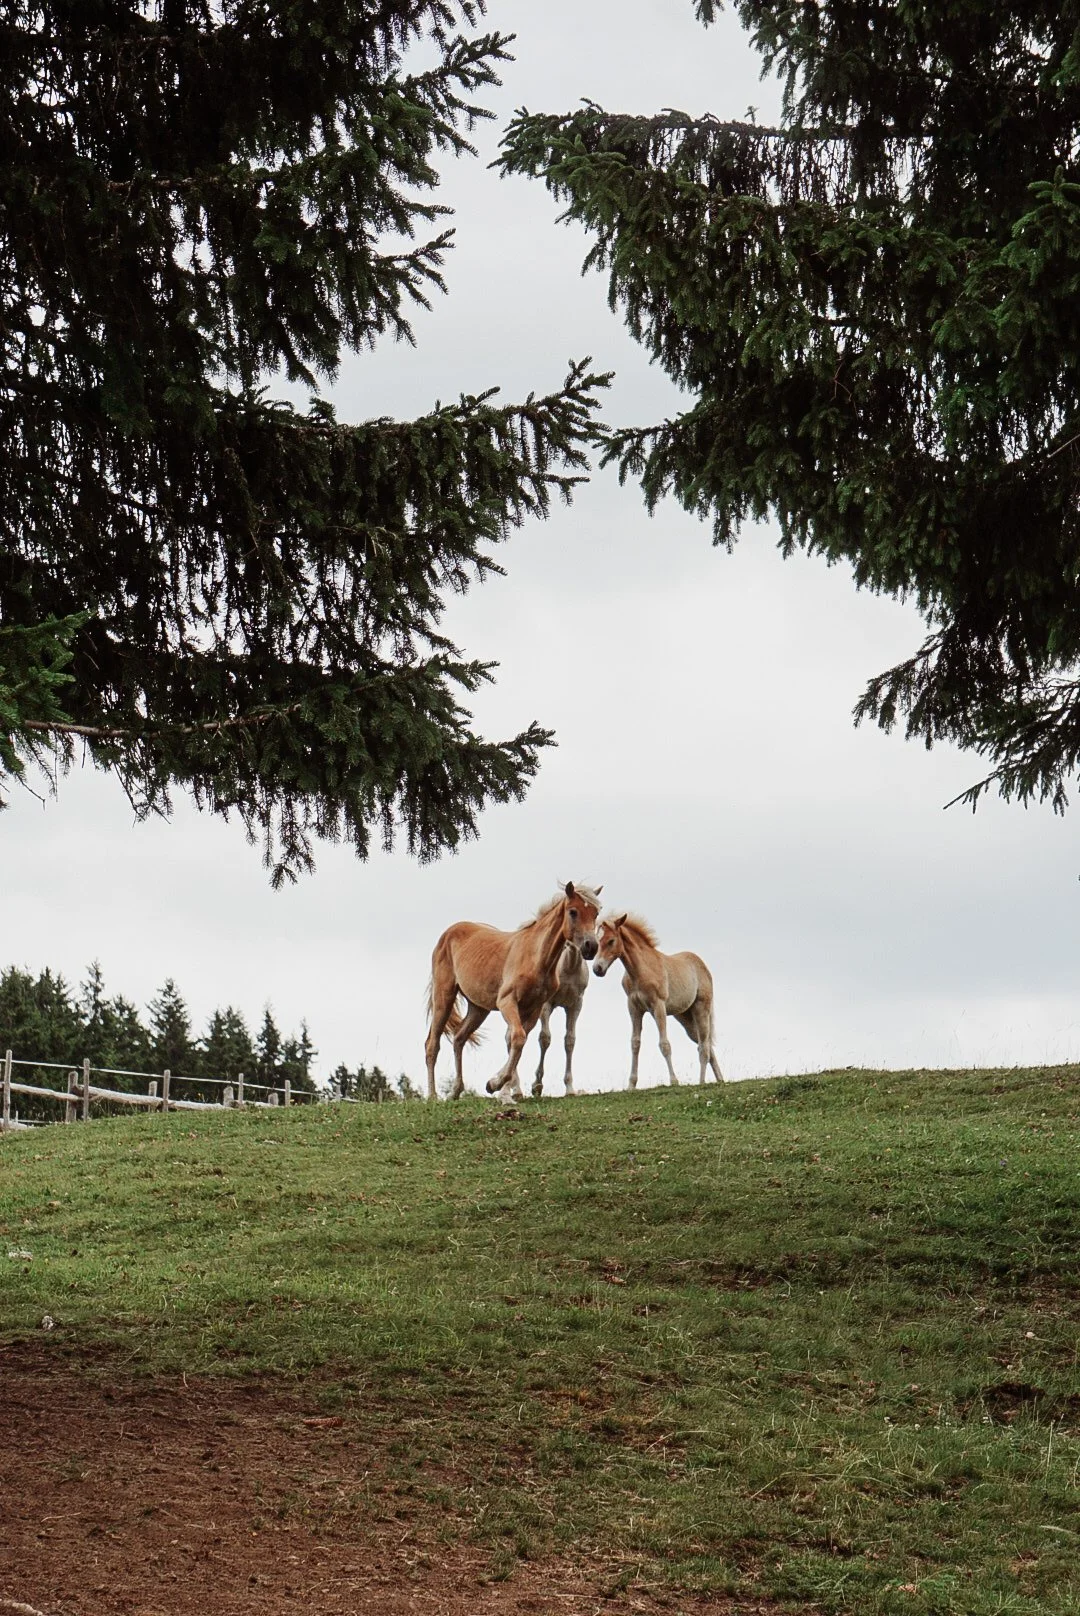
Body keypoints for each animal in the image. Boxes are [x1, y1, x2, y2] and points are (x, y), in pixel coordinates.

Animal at [528, 943, 590, 1098]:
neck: (569, 968)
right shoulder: (546, 1003)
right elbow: (545, 1038)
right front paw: (537, 1085)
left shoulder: (575, 1004)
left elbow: (570, 1040)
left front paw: (570, 1088)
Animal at [592, 913, 725, 1088]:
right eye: (596, 940)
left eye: (611, 941)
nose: (597, 969)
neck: (640, 971)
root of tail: (702, 965)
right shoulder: (634, 1008)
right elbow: (635, 1043)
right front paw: (631, 1085)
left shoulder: (658, 1006)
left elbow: (664, 1044)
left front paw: (674, 1081)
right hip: (685, 1017)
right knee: (707, 1044)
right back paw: (720, 1080)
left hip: (701, 1009)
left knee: (703, 1047)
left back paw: (702, 1082)